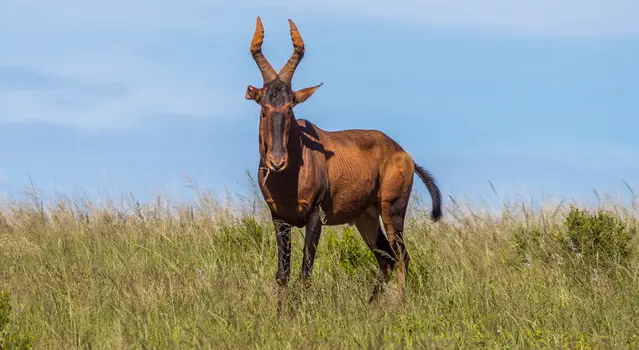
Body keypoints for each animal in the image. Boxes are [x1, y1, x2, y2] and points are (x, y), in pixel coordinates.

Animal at [246, 17, 444, 304]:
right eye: (264, 108)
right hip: (366, 218)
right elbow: (282, 275)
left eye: (291, 106)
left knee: (401, 257)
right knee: (385, 259)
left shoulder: (315, 216)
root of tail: (404, 153)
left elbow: (305, 273)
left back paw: (400, 304)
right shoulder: (278, 218)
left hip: (392, 211)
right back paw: (371, 307)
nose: (277, 162)